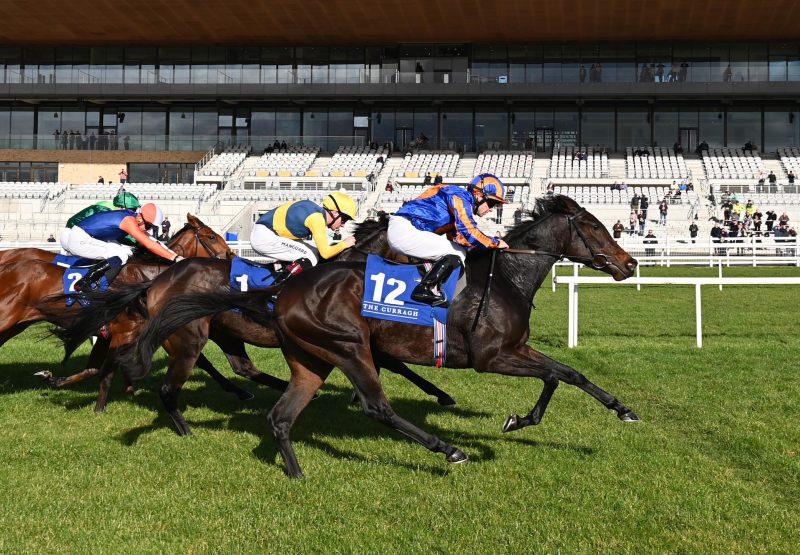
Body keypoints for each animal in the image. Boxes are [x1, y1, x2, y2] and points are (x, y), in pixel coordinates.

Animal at [53, 215, 456, 436]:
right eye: (418, 243)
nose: (432, 277)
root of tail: (160, 280)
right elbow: (397, 364)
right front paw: (442, 395)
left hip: (219, 331)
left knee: (237, 366)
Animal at [128, 195, 640, 478]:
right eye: (595, 228)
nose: (631, 263)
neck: (505, 278)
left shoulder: (512, 350)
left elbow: (563, 374)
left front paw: (526, 419)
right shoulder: (493, 356)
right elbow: (563, 373)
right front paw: (618, 410)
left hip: (303, 355)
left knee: (265, 393)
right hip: (342, 346)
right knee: (376, 406)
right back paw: (446, 450)